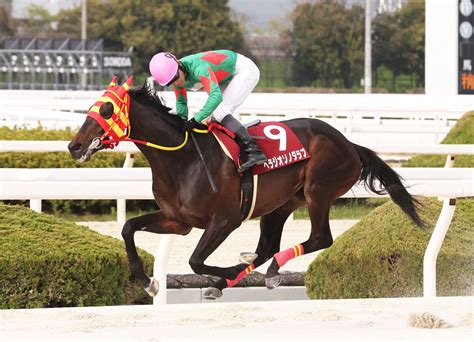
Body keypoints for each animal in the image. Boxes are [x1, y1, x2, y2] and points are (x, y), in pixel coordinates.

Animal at [67, 77, 422, 300]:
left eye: (106, 110)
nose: (74, 145)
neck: (183, 159)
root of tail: (349, 144)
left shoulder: (225, 220)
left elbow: (196, 261)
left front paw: (225, 272)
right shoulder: (178, 221)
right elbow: (128, 227)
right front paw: (146, 281)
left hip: (318, 190)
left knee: (320, 238)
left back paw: (265, 270)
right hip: (281, 204)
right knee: (268, 245)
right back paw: (249, 273)